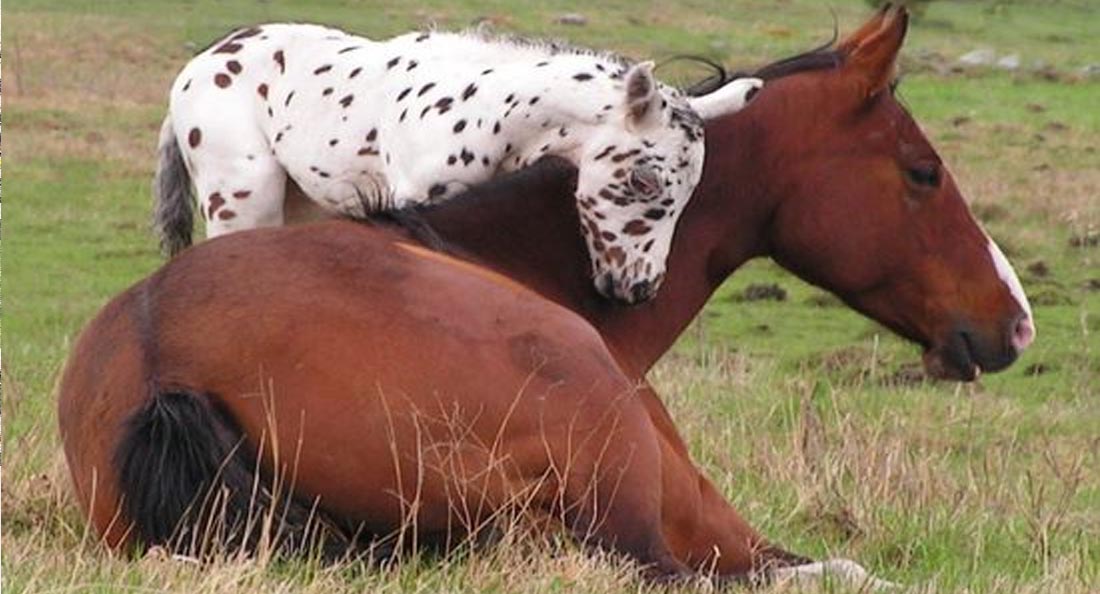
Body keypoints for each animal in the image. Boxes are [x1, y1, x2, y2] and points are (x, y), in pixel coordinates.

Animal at [152, 23, 765, 301]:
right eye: (642, 179)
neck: (490, 112)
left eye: (689, 197)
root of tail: (202, 62)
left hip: (298, 201)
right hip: (241, 197)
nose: (639, 287)